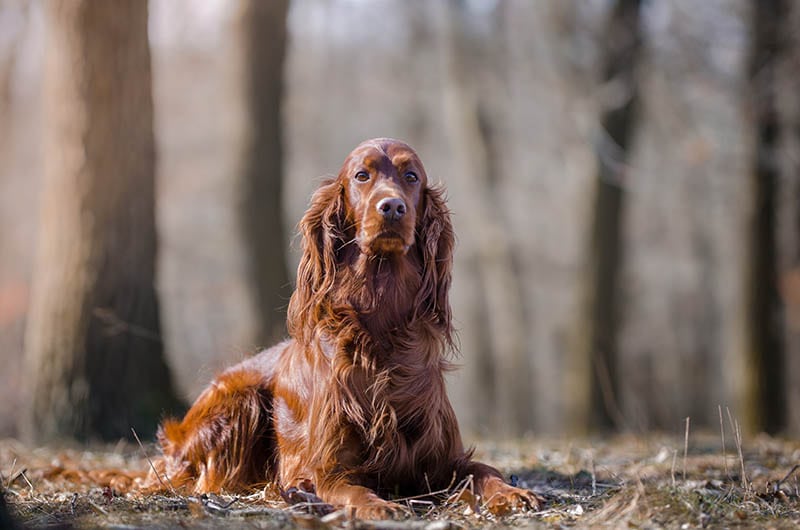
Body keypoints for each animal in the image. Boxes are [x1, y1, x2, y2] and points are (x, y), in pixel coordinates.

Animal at [152, 137, 536, 516]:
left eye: (411, 176)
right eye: (361, 175)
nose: (392, 207)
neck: (383, 327)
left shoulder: (444, 459)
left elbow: (484, 470)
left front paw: (512, 493)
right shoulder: (327, 467)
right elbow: (352, 489)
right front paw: (378, 506)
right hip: (240, 401)